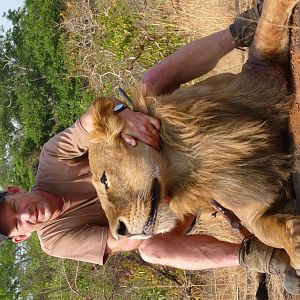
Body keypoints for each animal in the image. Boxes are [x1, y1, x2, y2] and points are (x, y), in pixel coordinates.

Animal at [88, 0, 300, 268]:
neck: (194, 161)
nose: (119, 233)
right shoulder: (251, 208)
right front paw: (293, 248)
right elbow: (272, 231)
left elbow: (271, 18)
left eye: (104, 180)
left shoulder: (263, 69)